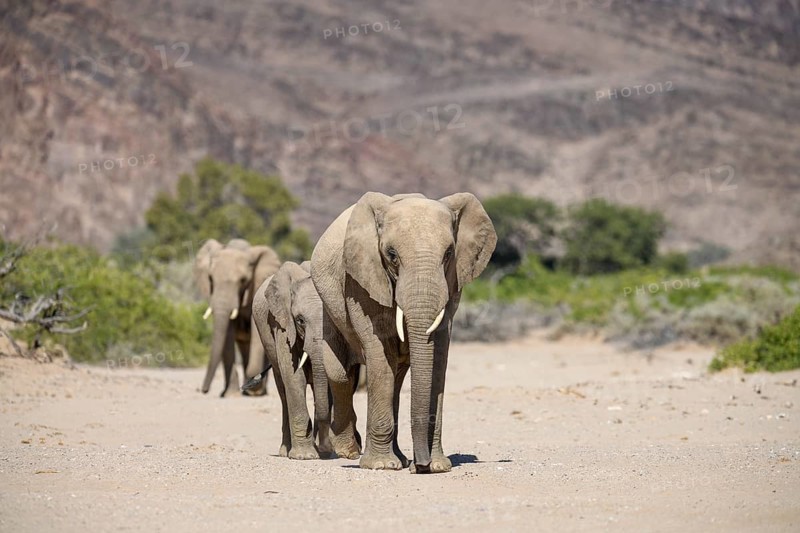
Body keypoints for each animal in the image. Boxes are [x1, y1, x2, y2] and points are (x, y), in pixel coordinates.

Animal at [193, 238, 281, 397]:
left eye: (243, 280)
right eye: (210, 279)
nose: (203, 390)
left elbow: (256, 333)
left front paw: (254, 389)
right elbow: (227, 334)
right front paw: (230, 394)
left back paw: (258, 391)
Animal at [250, 261, 361, 459]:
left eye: (333, 319)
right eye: (300, 320)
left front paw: (324, 451)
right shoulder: (282, 323)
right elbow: (294, 377)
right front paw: (304, 456)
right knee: (283, 390)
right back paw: (286, 451)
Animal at [310, 192, 496, 473]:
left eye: (449, 253)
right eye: (391, 254)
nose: (421, 465)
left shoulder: (452, 282)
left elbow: (438, 357)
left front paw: (438, 466)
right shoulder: (362, 280)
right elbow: (378, 351)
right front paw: (381, 466)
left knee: (396, 379)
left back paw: (397, 457)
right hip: (329, 308)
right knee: (340, 373)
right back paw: (349, 451)